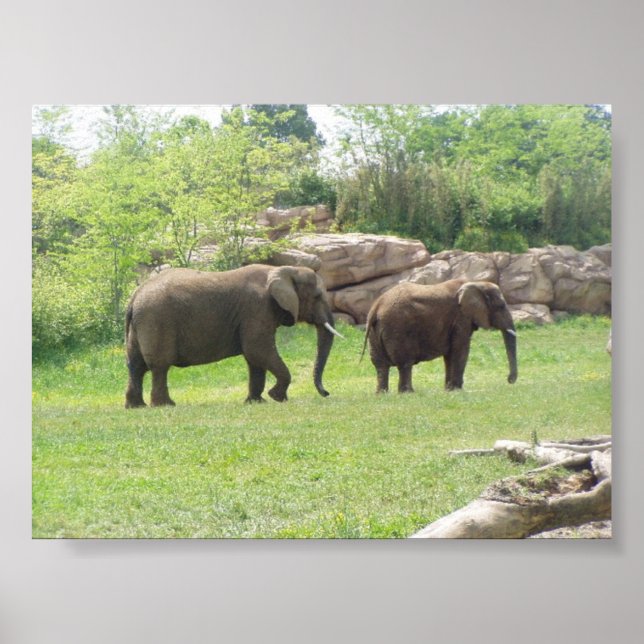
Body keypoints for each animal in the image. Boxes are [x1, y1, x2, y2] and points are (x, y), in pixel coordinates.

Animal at [124, 264, 343, 408]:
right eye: (317, 296)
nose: (326, 393)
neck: (283, 269)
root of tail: (134, 297)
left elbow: (255, 359)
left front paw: (256, 402)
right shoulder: (257, 308)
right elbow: (258, 351)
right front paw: (277, 397)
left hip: (140, 325)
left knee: (136, 365)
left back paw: (137, 406)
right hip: (156, 320)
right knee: (159, 366)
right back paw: (166, 405)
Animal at [362, 279, 518, 393]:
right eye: (501, 306)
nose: (509, 380)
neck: (476, 282)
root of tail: (377, 306)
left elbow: (450, 354)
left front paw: (449, 390)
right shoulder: (461, 318)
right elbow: (460, 350)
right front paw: (457, 390)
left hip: (375, 332)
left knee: (380, 365)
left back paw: (382, 394)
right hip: (398, 329)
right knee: (405, 363)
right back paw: (408, 393)